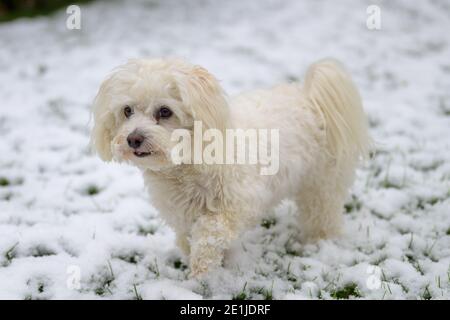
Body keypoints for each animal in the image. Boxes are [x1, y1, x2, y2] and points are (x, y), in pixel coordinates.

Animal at [90, 58, 370, 276]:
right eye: (127, 111)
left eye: (165, 111)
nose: (133, 138)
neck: (190, 161)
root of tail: (310, 98)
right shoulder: (180, 213)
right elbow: (187, 237)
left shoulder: (239, 204)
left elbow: (209, 232)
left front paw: (202, 269)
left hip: (321, 184)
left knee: (322, 213)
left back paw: (319, 243)